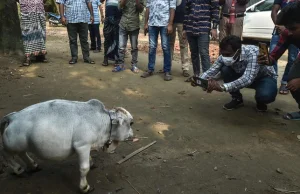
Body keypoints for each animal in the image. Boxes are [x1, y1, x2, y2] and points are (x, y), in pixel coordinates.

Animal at [0, 99, 134, 193]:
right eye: (131, 123)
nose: (133, 135)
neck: (103, 121)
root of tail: (12, 116)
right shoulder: (82, 145)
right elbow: (84, 168)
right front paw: (85, 187)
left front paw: (91, 162)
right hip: (11, 146)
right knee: (5, 155)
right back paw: (18, 169)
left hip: (21, 145)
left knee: (22, 153)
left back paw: (33, 165)